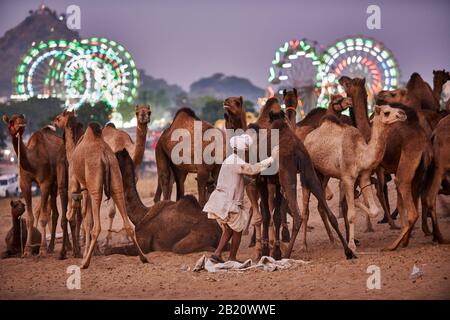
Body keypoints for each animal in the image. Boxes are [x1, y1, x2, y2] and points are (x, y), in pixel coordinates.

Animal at [2, 115, 62, 258]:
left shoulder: (45, 183)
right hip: (53, 187)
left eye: (21, 118)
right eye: (11, 121)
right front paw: (27, 250)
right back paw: (51, 246)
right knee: (53, 212)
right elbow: (30, 217)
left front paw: (42, 249)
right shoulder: (25, 184)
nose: (21, 123)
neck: (33, 162)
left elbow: (43, 217)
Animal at [64, 122, 148, 268]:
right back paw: (143, 257)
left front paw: (82, 254)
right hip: (116, 180)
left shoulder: (75, 180)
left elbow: (85, 217)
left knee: (96, 226)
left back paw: (85, 263)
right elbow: (87, 218)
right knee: (127, 223)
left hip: (95, 188)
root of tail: (104, 156)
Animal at [302, 106, 408, 251]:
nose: (402, 114)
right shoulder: (347, 178)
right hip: (308, 171)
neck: (361, 155)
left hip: (324, 174)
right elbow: (351, 214)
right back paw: (304, 245)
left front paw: (356, 200)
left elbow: (374, 210)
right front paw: (351, 245)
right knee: (305, 211)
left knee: (320, 205)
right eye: (386, 112)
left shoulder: (364, 177)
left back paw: (333, 240)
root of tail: (307, 139)